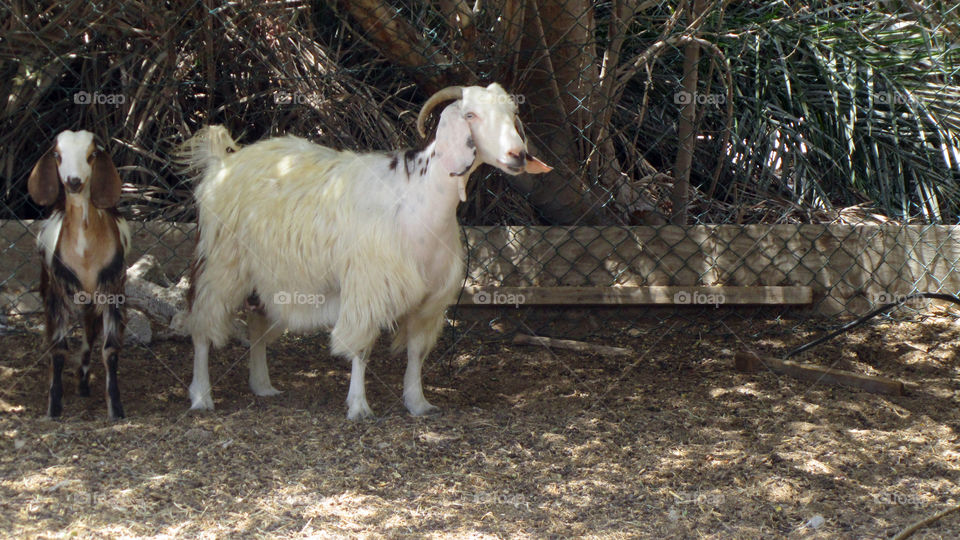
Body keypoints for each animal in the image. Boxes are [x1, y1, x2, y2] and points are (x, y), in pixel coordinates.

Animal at [28, 130, 130, 419]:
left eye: (92, 154)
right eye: (57, 154)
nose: (73, 182)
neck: (85, 251)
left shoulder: (112, 288)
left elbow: (110, 349)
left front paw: (116, 408)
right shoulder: (57, 291)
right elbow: (59, 348)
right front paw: (53, 406)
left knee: (90, 329)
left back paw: (83, 382)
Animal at [178, 83, 551, 420]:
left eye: (512, 115)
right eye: (471, 115)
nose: (517, 155)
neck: (419, 198)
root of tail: (221, 165)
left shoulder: (430, 299)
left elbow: (416, 352)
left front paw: (418, 403)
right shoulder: (368, 287)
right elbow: (360, 348)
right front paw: (358, 406)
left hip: (268, 276)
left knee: (256, 324)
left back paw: (262, 385)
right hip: (220, 264)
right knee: (202, 326)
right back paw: (201, 396)